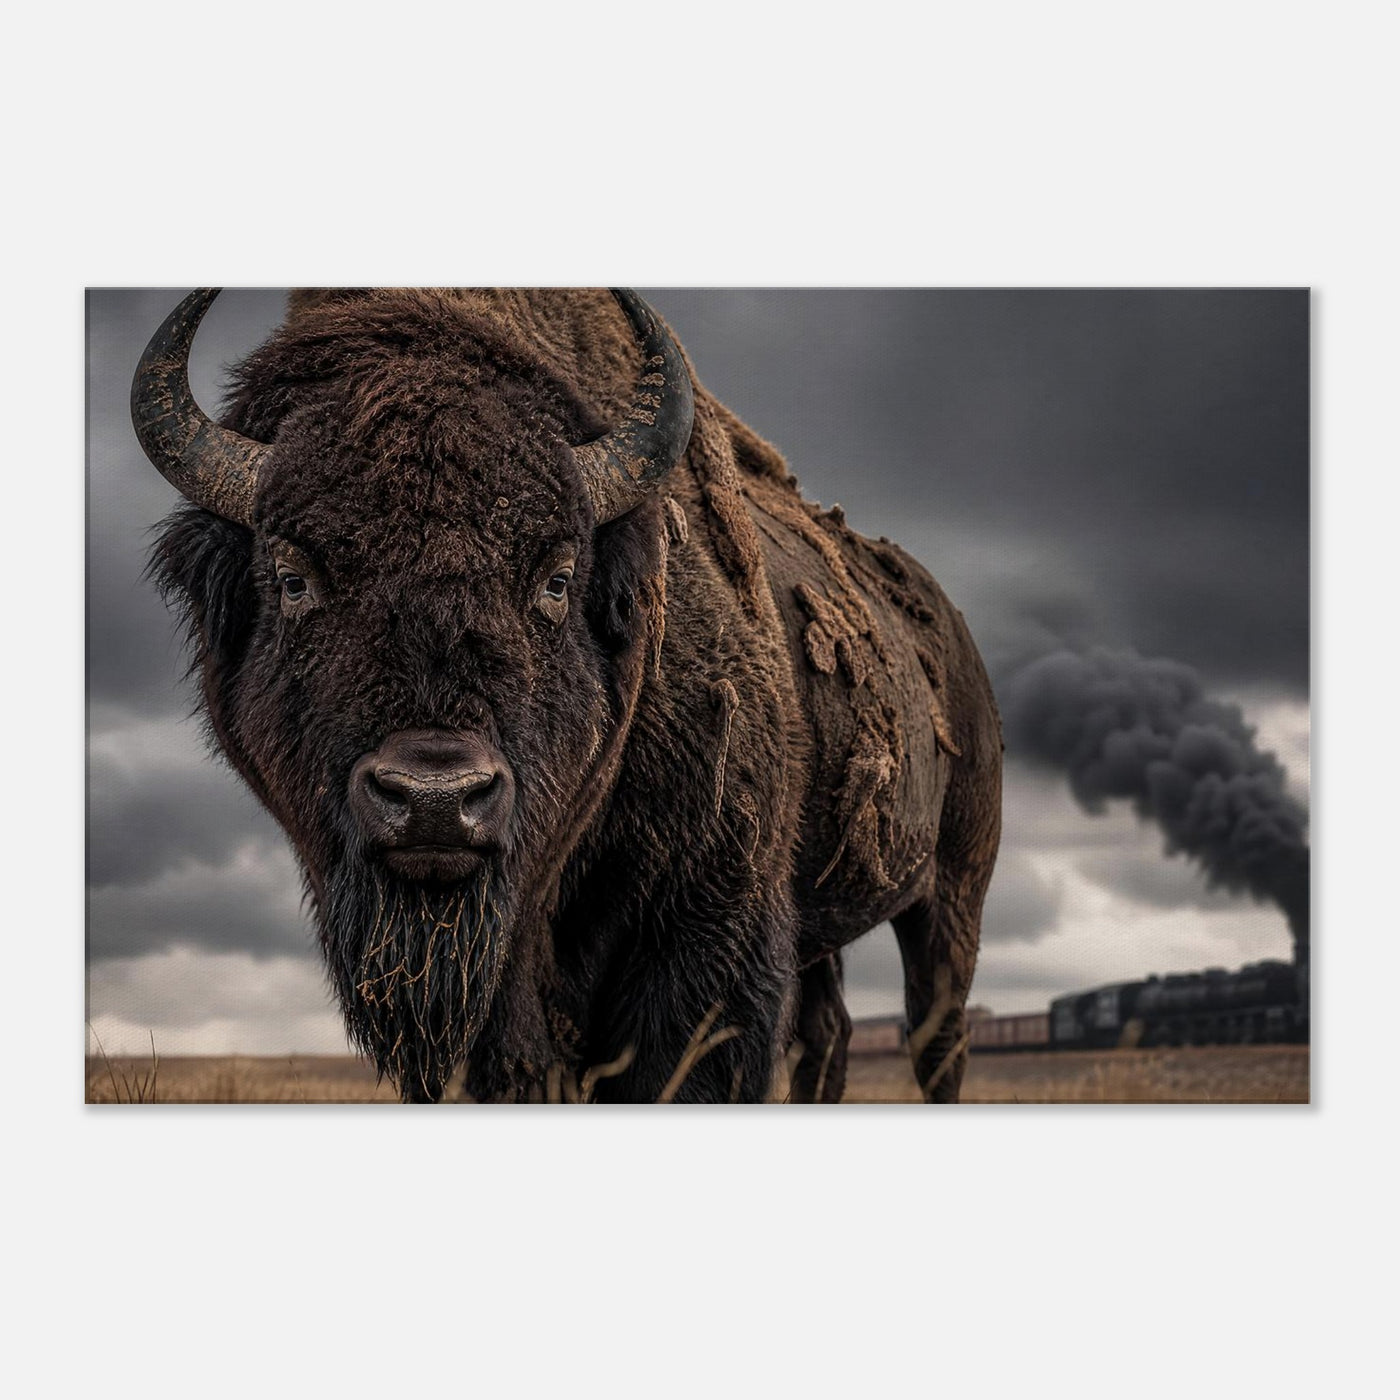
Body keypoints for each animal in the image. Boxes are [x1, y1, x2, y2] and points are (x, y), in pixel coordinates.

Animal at [132, 288, 1002, 1103]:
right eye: (291, 577)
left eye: (556, 577)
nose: (435, 799)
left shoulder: (712, 932)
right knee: (831, 1034)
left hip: (952, 896)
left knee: (937, 1032)